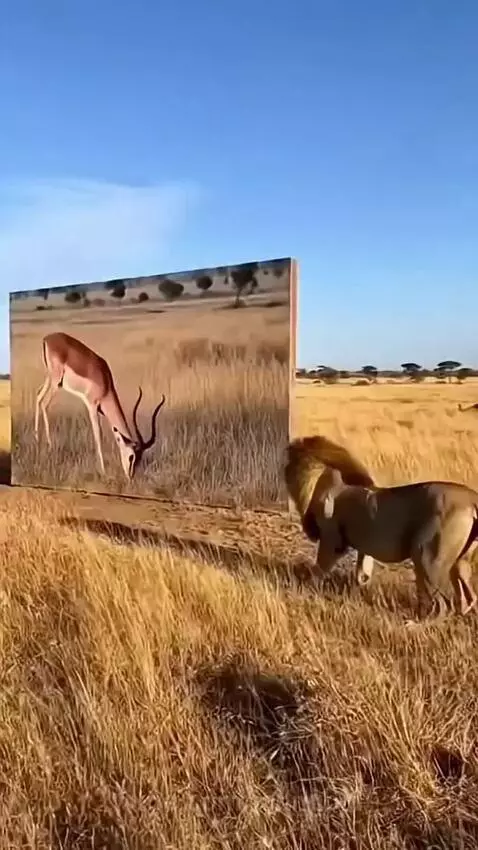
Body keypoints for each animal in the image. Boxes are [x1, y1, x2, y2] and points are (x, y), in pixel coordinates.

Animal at [285, 434, 478, 622]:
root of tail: (471, 498)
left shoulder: (332, 540)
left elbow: (318, 569)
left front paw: (305, 590)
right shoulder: (364, 545)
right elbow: (362, 573)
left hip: (426, 554)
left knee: (443, 604)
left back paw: (416, 624)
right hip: (459, 560)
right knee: (467, 596)